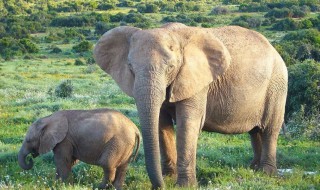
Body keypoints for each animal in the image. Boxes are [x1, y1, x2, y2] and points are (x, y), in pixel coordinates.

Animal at [94, 23, 288, 189]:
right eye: (130, 67)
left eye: (171, 67)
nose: (159, 186)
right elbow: (161, 125)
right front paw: (168, 178)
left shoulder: (197, 80)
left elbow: (187, 124)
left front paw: (184, 185)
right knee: (255, 131)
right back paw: (253, 169)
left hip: (277, 85)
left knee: (270, 129)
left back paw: (266, 173)